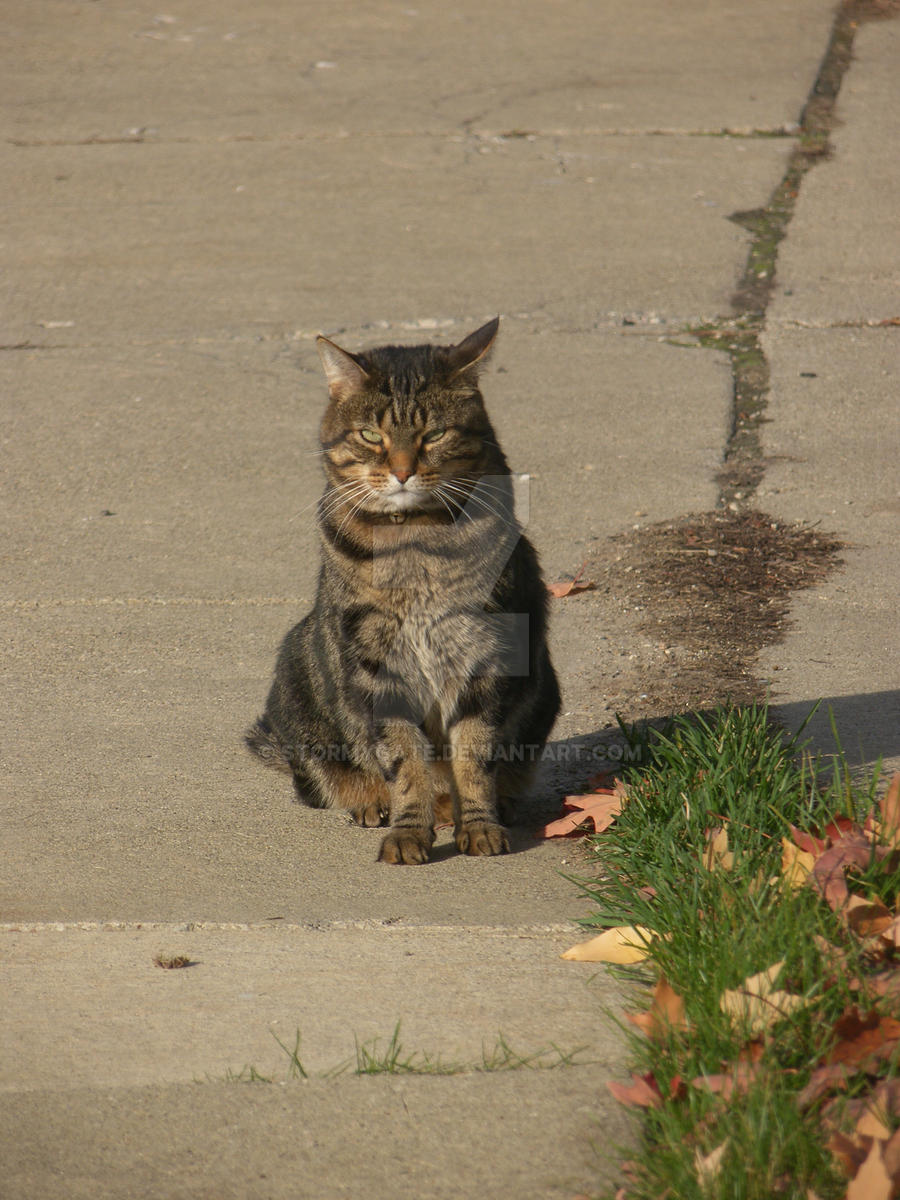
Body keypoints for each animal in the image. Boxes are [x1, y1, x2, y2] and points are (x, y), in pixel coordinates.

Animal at [244, 319, 556, 864]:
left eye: (435, 434)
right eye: (372, 435)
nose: (403, 471)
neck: (414, 544)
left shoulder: (487, 657)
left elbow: (475, 756)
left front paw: (480, 826)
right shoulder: (375, 663)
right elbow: (404, 759)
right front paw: (408, 832)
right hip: (299, 680)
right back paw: (372, 805)